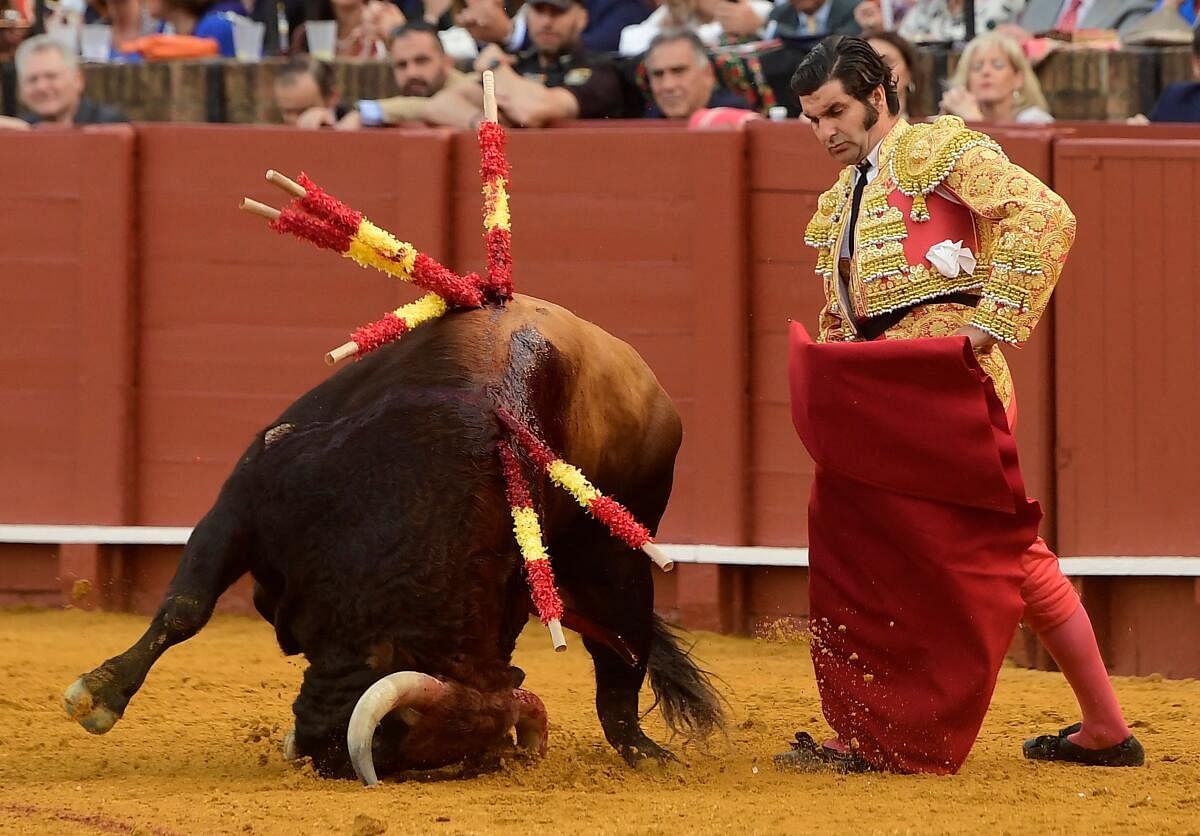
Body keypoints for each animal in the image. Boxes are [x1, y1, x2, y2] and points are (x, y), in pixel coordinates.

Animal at [63, 293, 720, 782]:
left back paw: (646, 754)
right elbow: (185, 608)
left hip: (619, 560)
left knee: (621, 660)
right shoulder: (242, 503)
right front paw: (97, 696)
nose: (319, 755)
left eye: (396, 748)